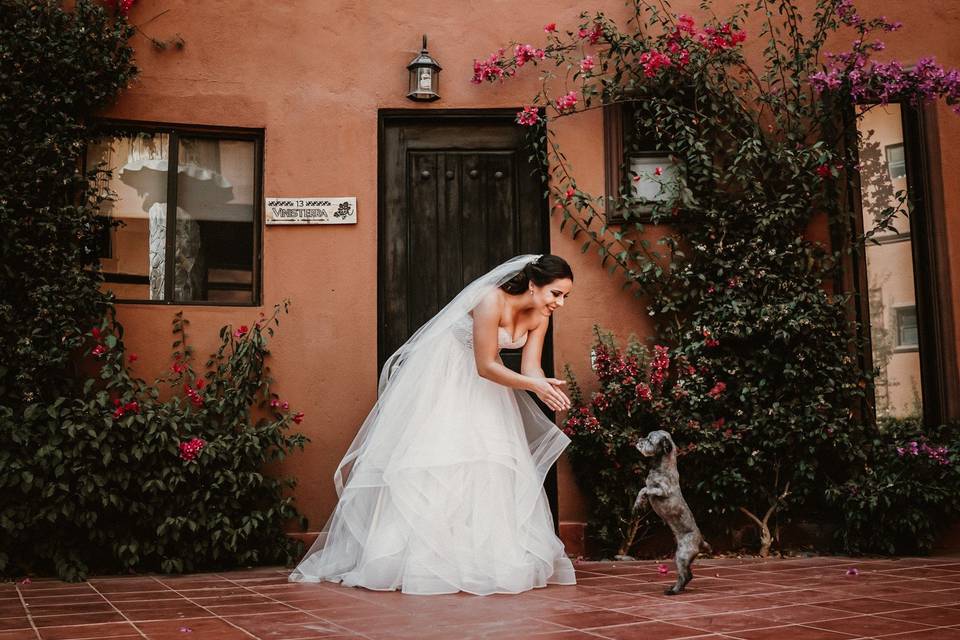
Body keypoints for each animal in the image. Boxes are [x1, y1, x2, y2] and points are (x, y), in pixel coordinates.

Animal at [632, 430, 708, 596]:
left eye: (650, 440)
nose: (639, 439)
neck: (662, 466)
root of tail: (700, 541)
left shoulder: (662, 490)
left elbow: (646, 489)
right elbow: (642, 489)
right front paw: (638, 505)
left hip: (681, 556)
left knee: (685, 575)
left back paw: (674, 590)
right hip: (681, 557)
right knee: (688, 574)